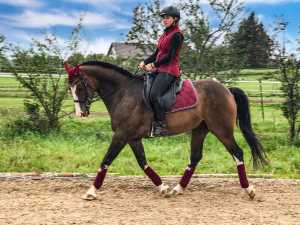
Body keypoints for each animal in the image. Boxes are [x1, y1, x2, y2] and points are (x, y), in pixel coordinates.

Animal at [63, 60, 268, 200]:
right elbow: (143, 163)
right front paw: (162, 188)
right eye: (69, 88)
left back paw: (249, 189)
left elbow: (106, 160)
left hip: (221, 130)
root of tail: (226, 89)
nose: (81, 113)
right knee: (195, 157)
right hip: (200, 129)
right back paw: (178, 188)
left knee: (237, 153)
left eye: (79, 86)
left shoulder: (121, 135)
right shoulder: (132, 137)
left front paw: (91, 191)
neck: (123, 93)